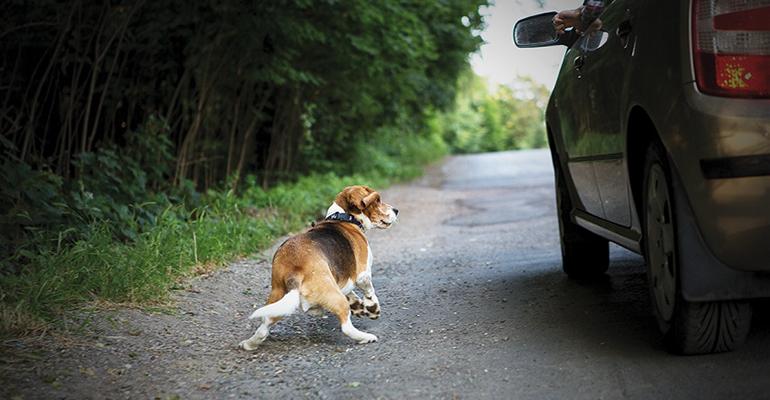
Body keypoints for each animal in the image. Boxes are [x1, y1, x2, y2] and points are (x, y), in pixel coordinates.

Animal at [238, 186, 396, 348]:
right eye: (377, 200)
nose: (396, 210)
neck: (343, 217)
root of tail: (294, 271)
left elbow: (350, 292)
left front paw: (358, 305)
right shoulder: (362, 275)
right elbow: (370, 291)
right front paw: (372, 308)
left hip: (278, 297)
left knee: (263, 328)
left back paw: (249, 344)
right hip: (334, 296)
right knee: (345, 326)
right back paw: (366, 337)